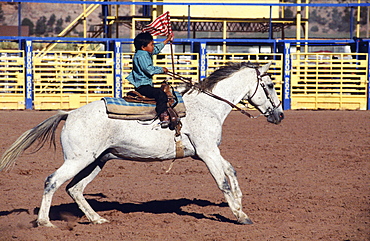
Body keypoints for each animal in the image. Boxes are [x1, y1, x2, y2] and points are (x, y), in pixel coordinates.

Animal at [0, 61, 284, 227]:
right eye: (270, 85)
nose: (280, 115)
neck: (208, 105)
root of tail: (69, 114)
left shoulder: (208, 151)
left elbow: (231, 170)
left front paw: (240, 201)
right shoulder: (207, 152)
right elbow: (222, 181)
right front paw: (240, 215)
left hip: (97, 161)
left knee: (75, 189)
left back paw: (97, 219)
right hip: (78, 160)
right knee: (52, 181)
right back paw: (44, 222)